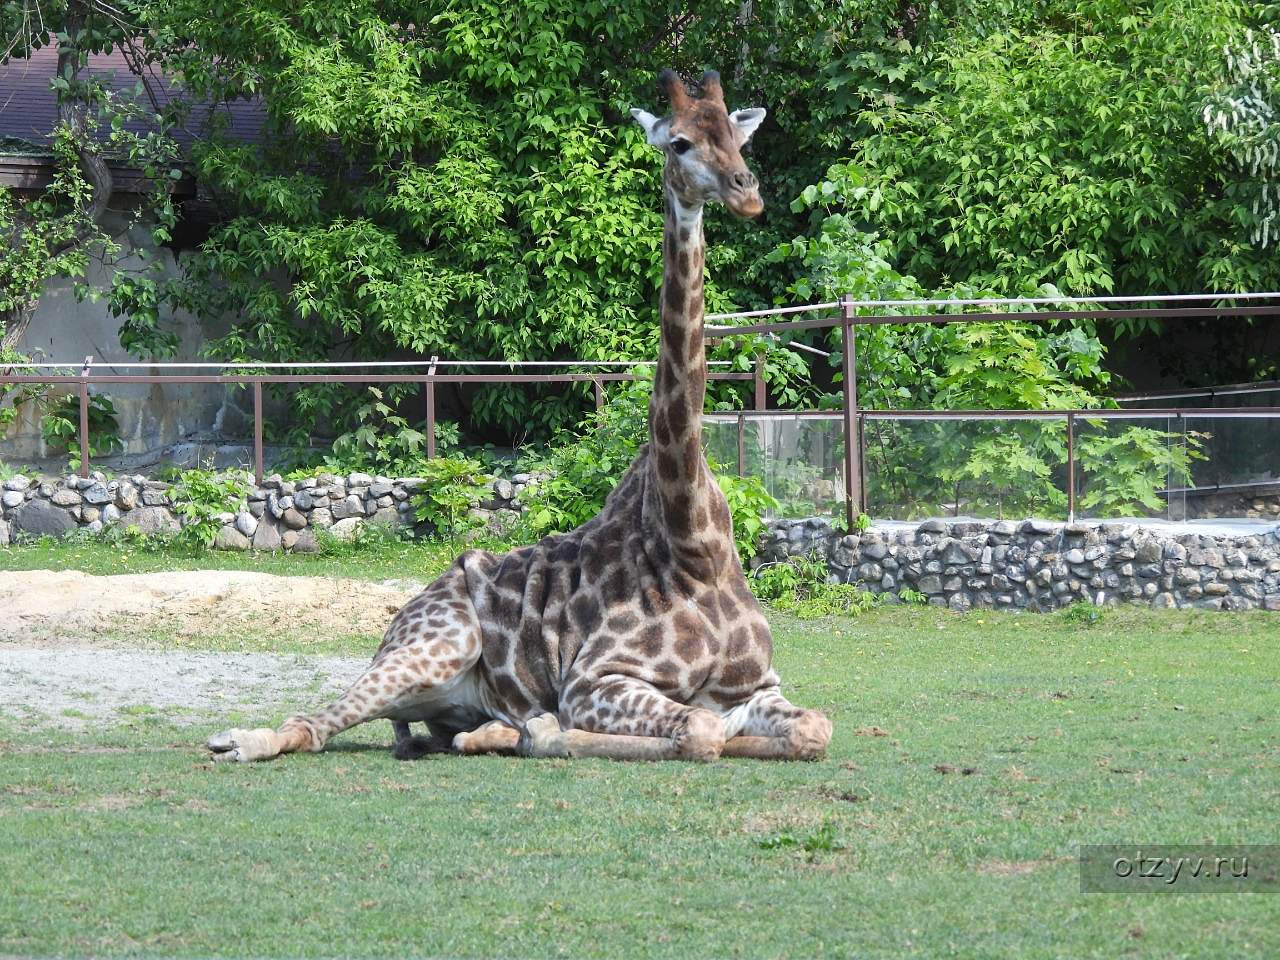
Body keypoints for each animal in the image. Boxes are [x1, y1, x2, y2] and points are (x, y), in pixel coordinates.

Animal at [204, 67, 834, 768]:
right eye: (679, 142)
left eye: (736, 136)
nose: (746, 193)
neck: (694, 546)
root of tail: (406, 612)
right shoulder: (594, 680)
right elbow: (699, 733)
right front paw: (553, 731)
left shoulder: (757, 686)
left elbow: (810, 729)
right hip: (433, 645)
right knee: (314, 721)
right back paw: (238, 739)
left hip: (445, 695)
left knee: (446, 731)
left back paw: (494, 732)